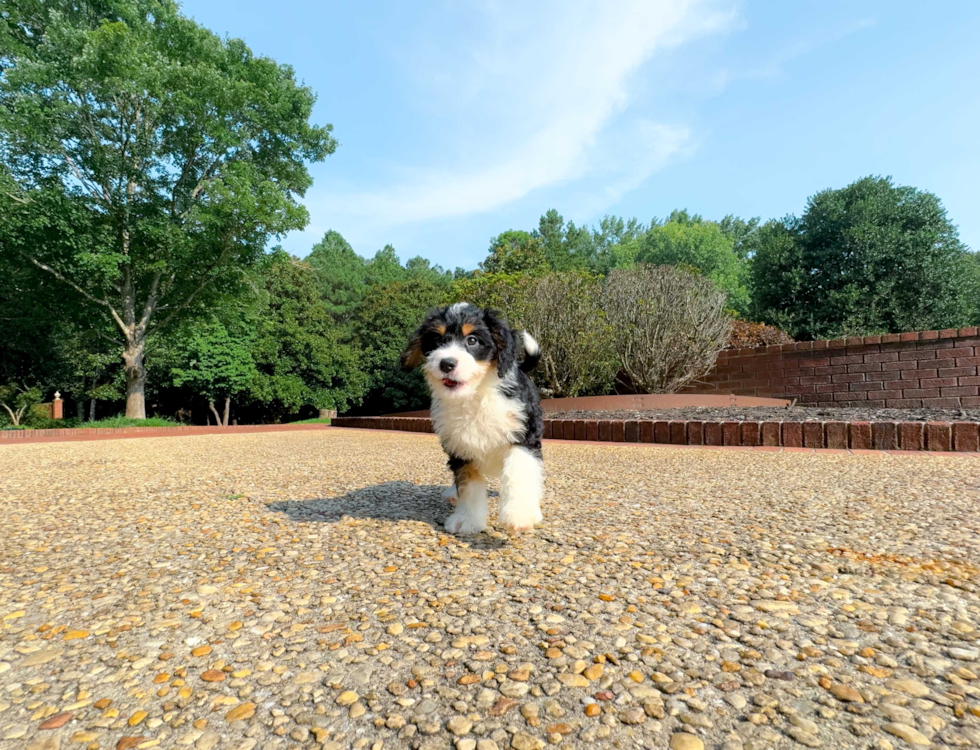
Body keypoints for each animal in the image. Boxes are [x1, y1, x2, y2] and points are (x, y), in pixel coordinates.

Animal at [402, 302, 548, 536]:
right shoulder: (461, 447)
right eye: (437, 341)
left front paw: (518, 515)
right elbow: (468, 485)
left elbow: (519, 472)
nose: (446, 364)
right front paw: (467, 520)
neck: (476, 395)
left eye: (472, 340)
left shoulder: (524, 436)